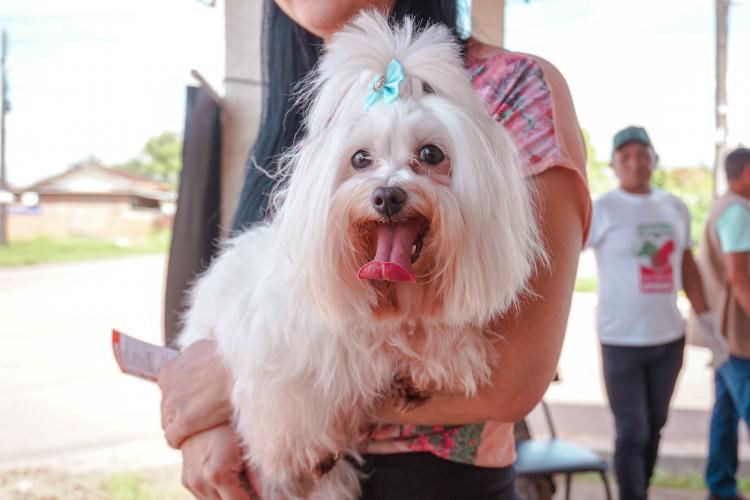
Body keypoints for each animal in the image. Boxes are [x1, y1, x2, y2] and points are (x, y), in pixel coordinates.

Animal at [182, 11, 548, 500]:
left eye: (430, 153)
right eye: (359, 159)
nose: (388, 195)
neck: (389, 297)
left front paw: (435, 359)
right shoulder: (275, 355)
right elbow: (291, 399)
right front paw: (301, 449)